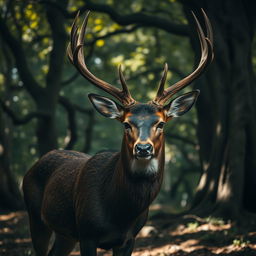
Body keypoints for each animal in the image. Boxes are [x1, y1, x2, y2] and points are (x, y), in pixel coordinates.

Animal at [23, 9, 213, 255]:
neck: (120, 214)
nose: (143, 148)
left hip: (66, 234)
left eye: (161, 123)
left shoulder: (130, 238)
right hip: (35, 215)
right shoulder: (87, 233)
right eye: (126, 124)